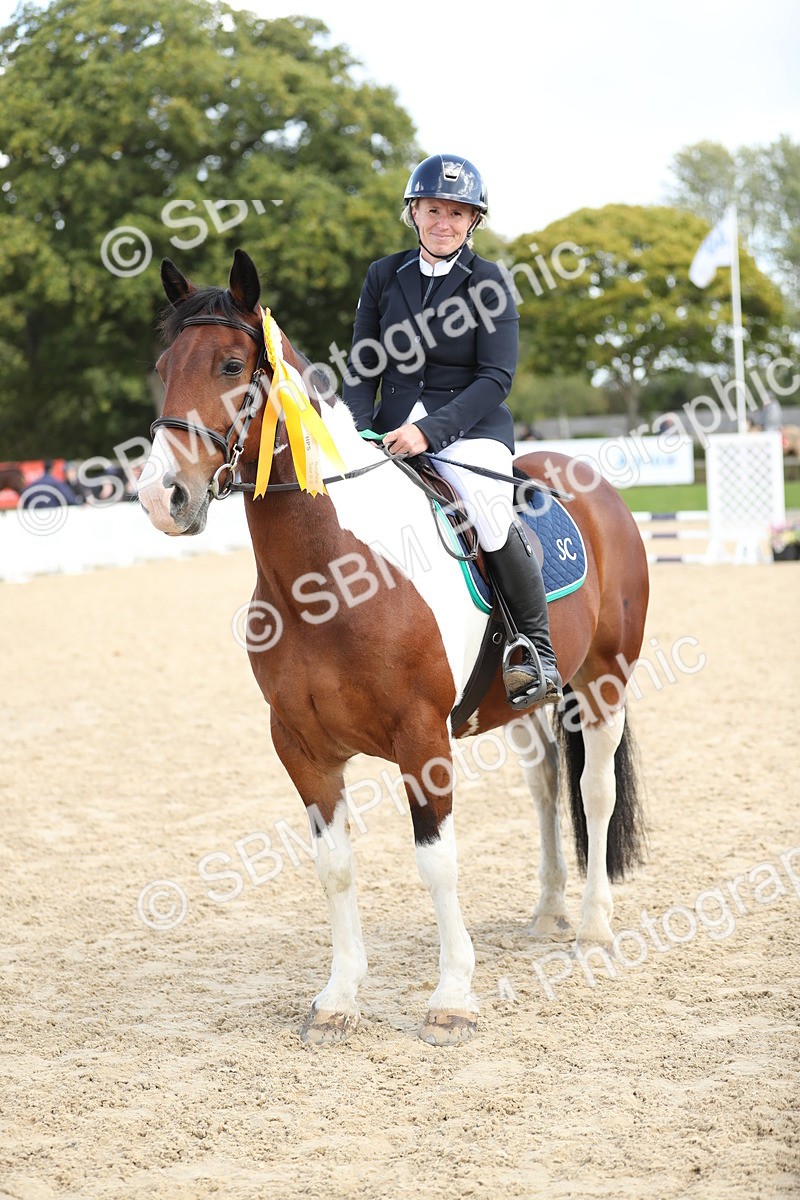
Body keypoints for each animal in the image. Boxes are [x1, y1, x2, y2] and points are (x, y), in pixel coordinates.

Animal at [137, 249, 650, 1046]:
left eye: (230, 365)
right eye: (164, 365)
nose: (164, 497)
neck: (328, 577)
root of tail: (592, 481)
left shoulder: (421, 736)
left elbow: (436, 863)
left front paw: (452, 998)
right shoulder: (301, 746)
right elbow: (335, 866)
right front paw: (339, 999)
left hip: (604, 682)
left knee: (595, 790)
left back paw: (594, 925)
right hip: (528, 701)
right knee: (544, 788)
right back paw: (547, 913)